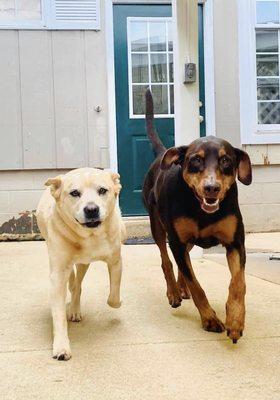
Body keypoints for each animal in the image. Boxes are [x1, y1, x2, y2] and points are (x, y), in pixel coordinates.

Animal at [142, 90, 252, 344]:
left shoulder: (235, 242)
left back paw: (181, 288)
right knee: (166, 259)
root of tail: (163, 153)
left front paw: (235, 320)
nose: (211, 188)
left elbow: (238, 282)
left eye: (226, 160)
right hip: (158, 227)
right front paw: (210, 319)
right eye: (195, 160)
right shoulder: (176, 240)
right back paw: (174, 292)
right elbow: (196, 284)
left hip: (189, 240)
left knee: (185, 263)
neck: (201, 210)